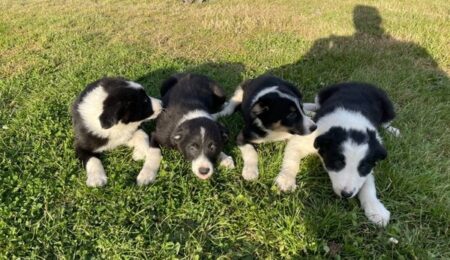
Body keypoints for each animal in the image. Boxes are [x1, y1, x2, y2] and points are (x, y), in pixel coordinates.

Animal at [276, 82, 400, 226]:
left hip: (388, 107)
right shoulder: (305, 139)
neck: (351, 125)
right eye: (337, 162)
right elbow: (292, 162)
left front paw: (376, 210)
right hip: (322, 95)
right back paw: (308, 112)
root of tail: (361, 83)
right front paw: (286, 179)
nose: (347, 194)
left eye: (363, 167)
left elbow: (368, 184)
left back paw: (393, 131)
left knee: (386, 123)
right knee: (315, 105)